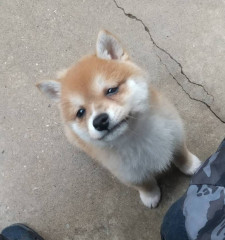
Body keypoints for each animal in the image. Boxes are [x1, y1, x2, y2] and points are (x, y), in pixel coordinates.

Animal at [36, 30, 200, 207]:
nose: (100, 121)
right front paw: (150, 196)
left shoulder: (175, 136)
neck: (136, 138)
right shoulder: (127, 173)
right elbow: (144, 184)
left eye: (111, 90)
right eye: (80, 112)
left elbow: (181, 155)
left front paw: (192, 166)